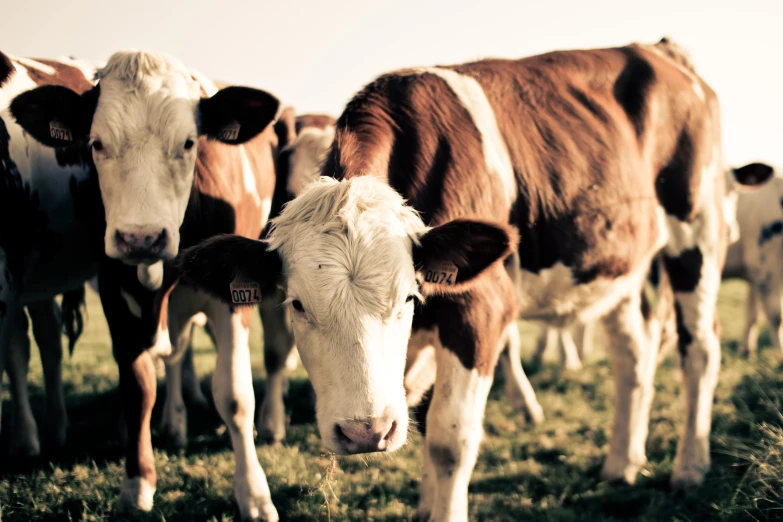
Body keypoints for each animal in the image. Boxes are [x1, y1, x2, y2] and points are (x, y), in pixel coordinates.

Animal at [11, 49, 284, 520]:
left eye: (189, 143)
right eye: (96, 144)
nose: (141, 237)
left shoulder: (233, 298)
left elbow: (234, 395)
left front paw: (254, 495)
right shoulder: (115, 290)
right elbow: (138, 386)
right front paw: (137, 485)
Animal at [176, 38, 764, 516]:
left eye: (408, 298)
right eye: (296, 304)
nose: (365, 431)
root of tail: (660, 49)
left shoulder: (479, 310)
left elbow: (448, 440)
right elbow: (423, 417)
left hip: (697, 238)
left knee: (699, 349)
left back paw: (689, 467)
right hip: (618, 266)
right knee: (634, 357)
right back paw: (622, 462)